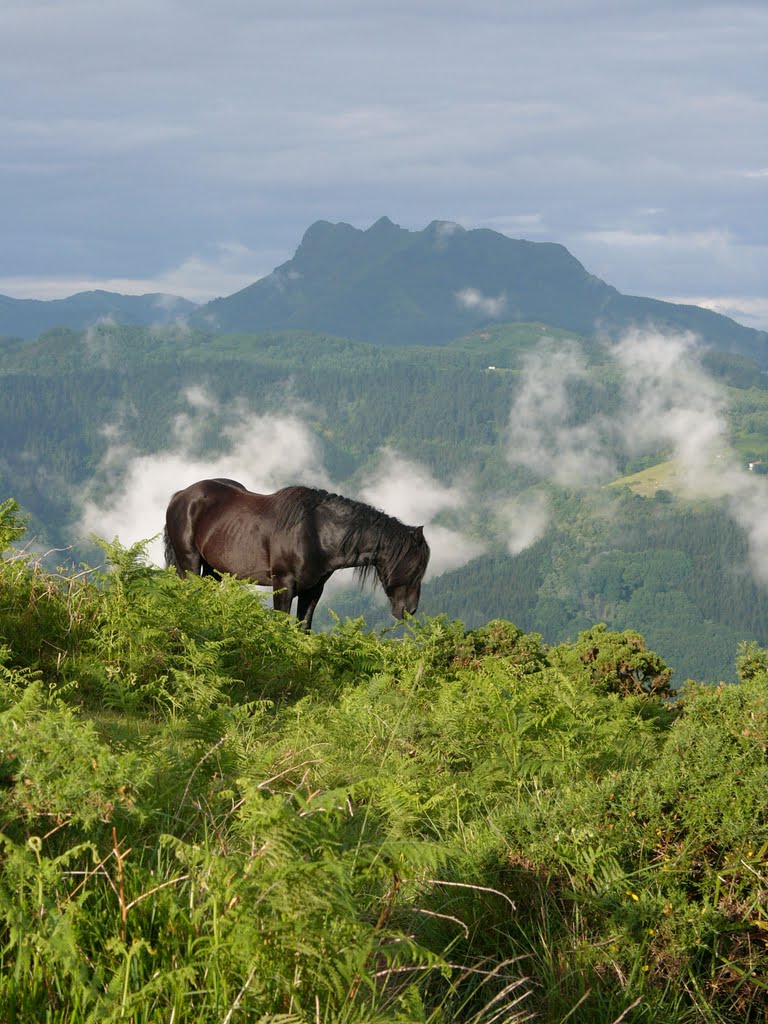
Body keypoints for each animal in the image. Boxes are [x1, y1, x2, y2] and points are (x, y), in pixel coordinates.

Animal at [162, 477, 430, 622]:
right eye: (415, 568)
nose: (410, 611)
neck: (317, 533)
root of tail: (180, 495)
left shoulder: (313, 590)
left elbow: (303, 628)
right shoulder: (283, 585)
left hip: (213, 570)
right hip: (189, 565)